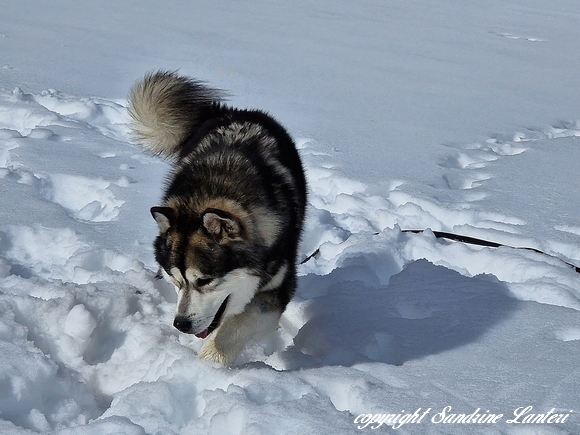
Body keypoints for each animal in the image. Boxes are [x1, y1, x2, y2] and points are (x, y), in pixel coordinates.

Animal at [127, 71, 307, 365]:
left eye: (204, 281)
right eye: (177, 280)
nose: (181, 325)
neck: (218, 189)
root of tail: (228, 111)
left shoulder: (277, 287)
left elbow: (232, 330)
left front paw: (208, 364)